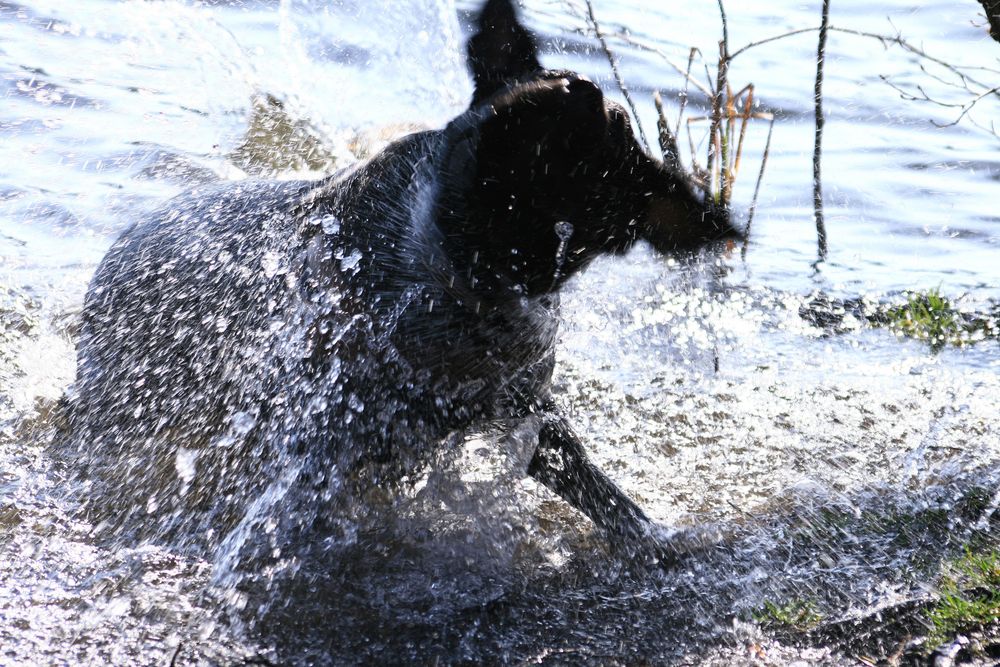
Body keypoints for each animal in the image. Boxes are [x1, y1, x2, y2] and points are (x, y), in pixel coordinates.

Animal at [70, 0, 740, 560]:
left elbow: (596, 485)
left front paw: (655, 540)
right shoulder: (328, 437)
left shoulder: (524, 405)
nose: (583, 88)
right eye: (533, 137)